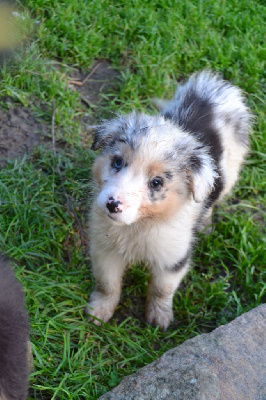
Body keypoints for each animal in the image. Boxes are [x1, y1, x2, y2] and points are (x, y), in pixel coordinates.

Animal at [86, 70, 252, 330]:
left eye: (156, 183)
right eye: (117, 162)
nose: (112, 204)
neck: (139, 226)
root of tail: (212, 86)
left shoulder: (173, 258)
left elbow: (161, 289)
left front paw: (159, 319)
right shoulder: (105, 249)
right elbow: (107, 284)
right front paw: (98, 312)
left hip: (229, 174)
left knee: (213, 199)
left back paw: (205, 225)